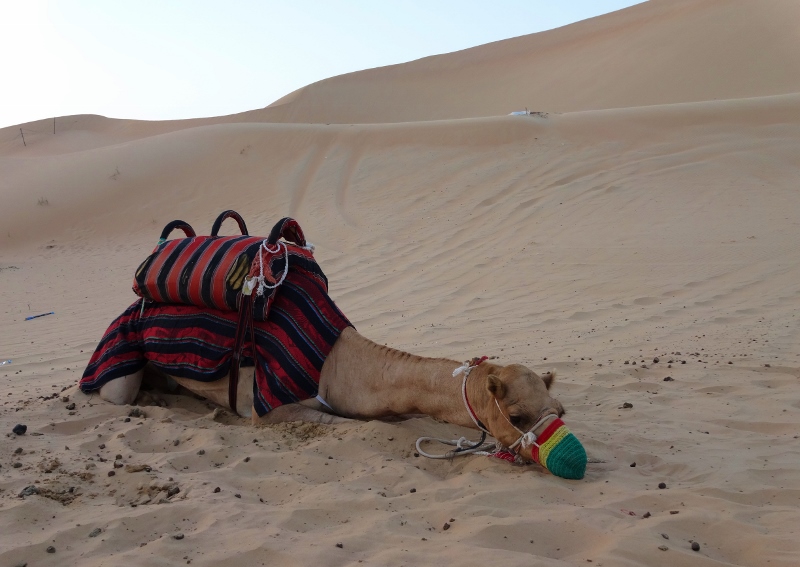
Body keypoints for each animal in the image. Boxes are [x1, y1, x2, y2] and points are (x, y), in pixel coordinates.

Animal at [96, 326, 588, 479]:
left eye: (561, 411)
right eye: (517, 415)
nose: (574, 458)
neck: (341, 365)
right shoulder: (271, 409)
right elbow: (353, 425)